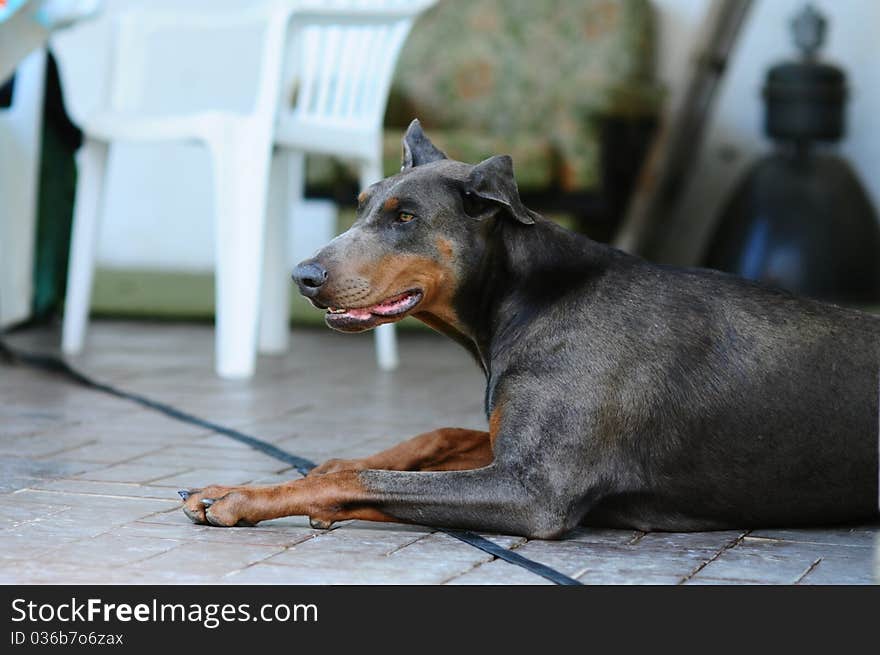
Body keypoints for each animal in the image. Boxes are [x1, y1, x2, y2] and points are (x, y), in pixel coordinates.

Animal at [180, 118, 880, 540]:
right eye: (358, 208)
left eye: (405, 218)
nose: (303, 275)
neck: (526, 302)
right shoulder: (508, 447)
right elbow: (433, 435)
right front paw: (322, 468)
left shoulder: (534, 490)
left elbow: (360, 482)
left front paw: (244, 495)